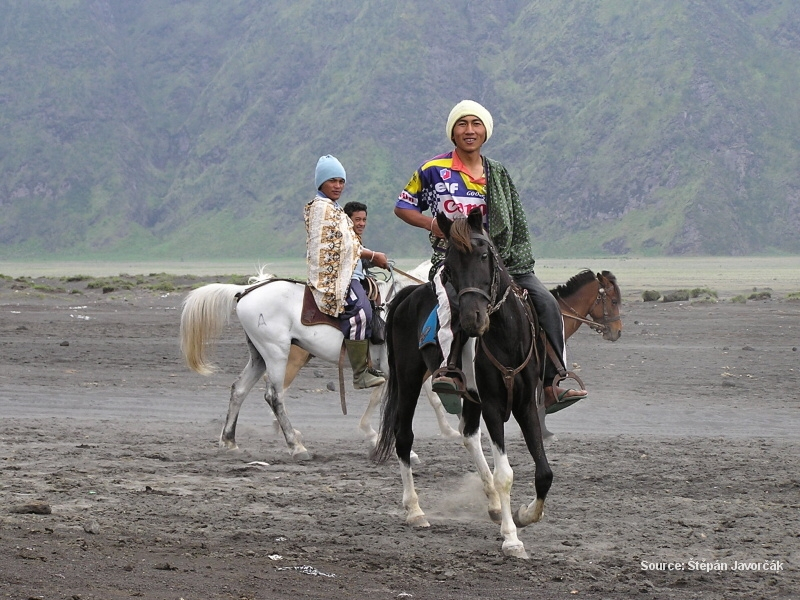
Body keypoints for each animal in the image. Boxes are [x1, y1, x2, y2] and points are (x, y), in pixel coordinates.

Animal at [180, 260, 456, 462]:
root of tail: (245, 291)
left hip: (259, 355)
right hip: (276, 353)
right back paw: (296, 446)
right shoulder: (401, 371)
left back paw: (229, 441)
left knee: (239, 389)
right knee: (274, 395)